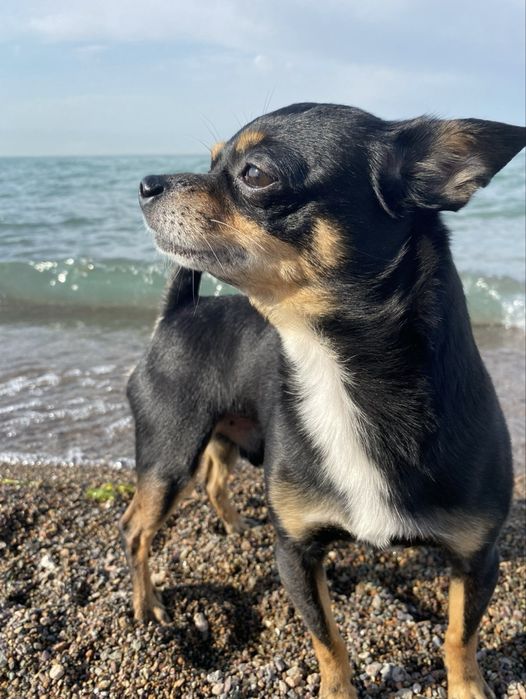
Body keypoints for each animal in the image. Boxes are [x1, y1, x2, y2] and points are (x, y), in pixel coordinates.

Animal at [121, 103, 525, 698]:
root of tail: (178, 314)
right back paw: (148, 605)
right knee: (137, 529)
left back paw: (235, 529)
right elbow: (328, 640)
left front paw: (468, 688)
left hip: (213, 441)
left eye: (254, 173)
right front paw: (337, 689)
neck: (334, 372)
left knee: (211, 483)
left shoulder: (477, 557)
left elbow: (459, 636)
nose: (147, 183)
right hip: (170, 454)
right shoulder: (296, 553)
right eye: (212, 161)